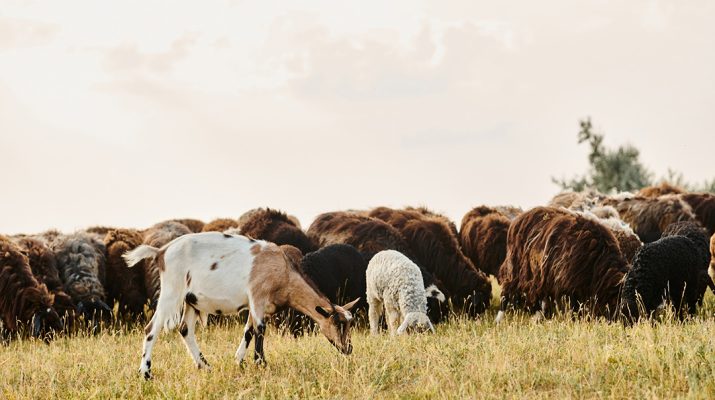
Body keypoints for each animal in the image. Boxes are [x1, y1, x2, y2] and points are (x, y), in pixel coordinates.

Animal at [122, 232, 359, 379]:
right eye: (339, 324)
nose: (348, 349)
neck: (284, 272)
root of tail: (160, 252)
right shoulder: (257, 297)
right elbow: (260, 330)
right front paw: (261, 363)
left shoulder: (256, 304)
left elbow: (248, 331)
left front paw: (239, 362)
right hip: (172, 291)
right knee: (151, 328)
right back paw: (146, 373)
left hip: (190, 300)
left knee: (185, 330)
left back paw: (205, 366)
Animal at [497, 207, 629, 322]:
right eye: (619, 300)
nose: (627, 323)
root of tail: (518, 219)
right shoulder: (569, 288)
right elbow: (573, 310)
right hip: (516, 269)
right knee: (506, 291)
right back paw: (499, 319)